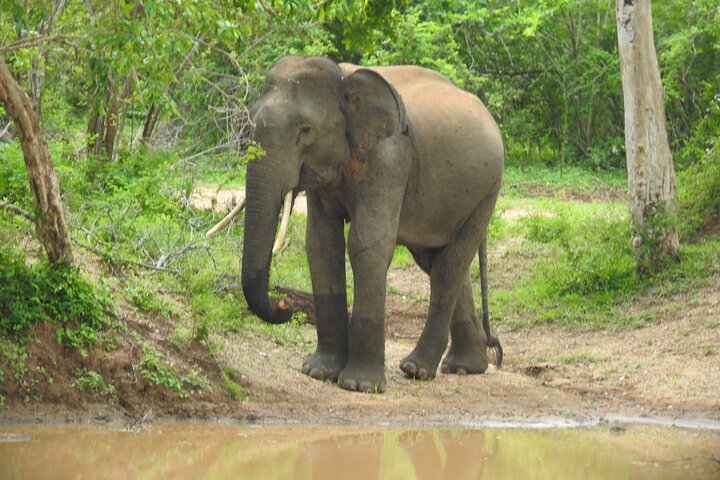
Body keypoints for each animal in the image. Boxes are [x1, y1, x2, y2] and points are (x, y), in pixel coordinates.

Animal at [240, 55, 504, 393]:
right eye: (250, 123)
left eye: (306, 130)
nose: (285, 304)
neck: (343, 80)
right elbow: (321, 244)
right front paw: (317, 372)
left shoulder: (389, 158)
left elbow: (367, 245)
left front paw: (359, 385)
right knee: (438, 262)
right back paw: (463, 367)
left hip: (487, 188)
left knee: (449, 265)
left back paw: (417, 369)